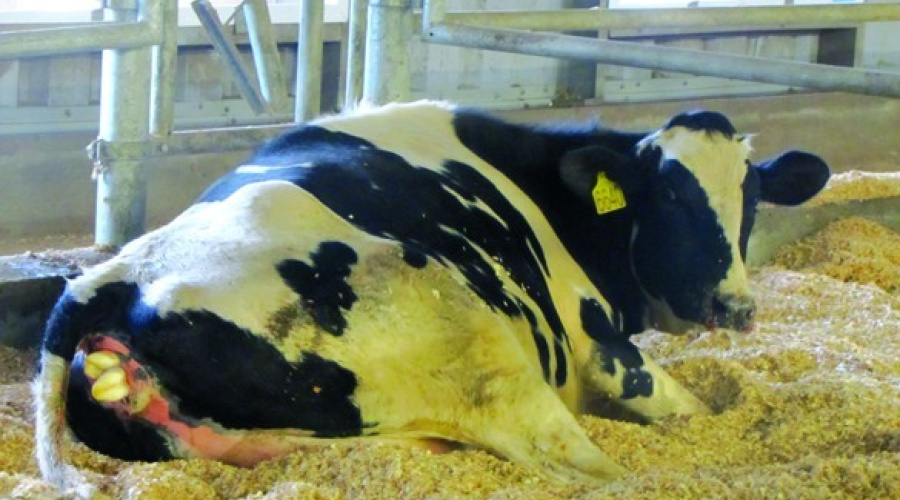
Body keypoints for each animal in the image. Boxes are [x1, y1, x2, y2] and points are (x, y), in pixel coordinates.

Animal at [33, 101, 829, 496]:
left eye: (750, 197)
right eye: (669, 195)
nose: (733, 306)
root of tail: (108, 278)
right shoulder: (599, 346)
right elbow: (687, 409)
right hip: (476, 344)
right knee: (591, 468)